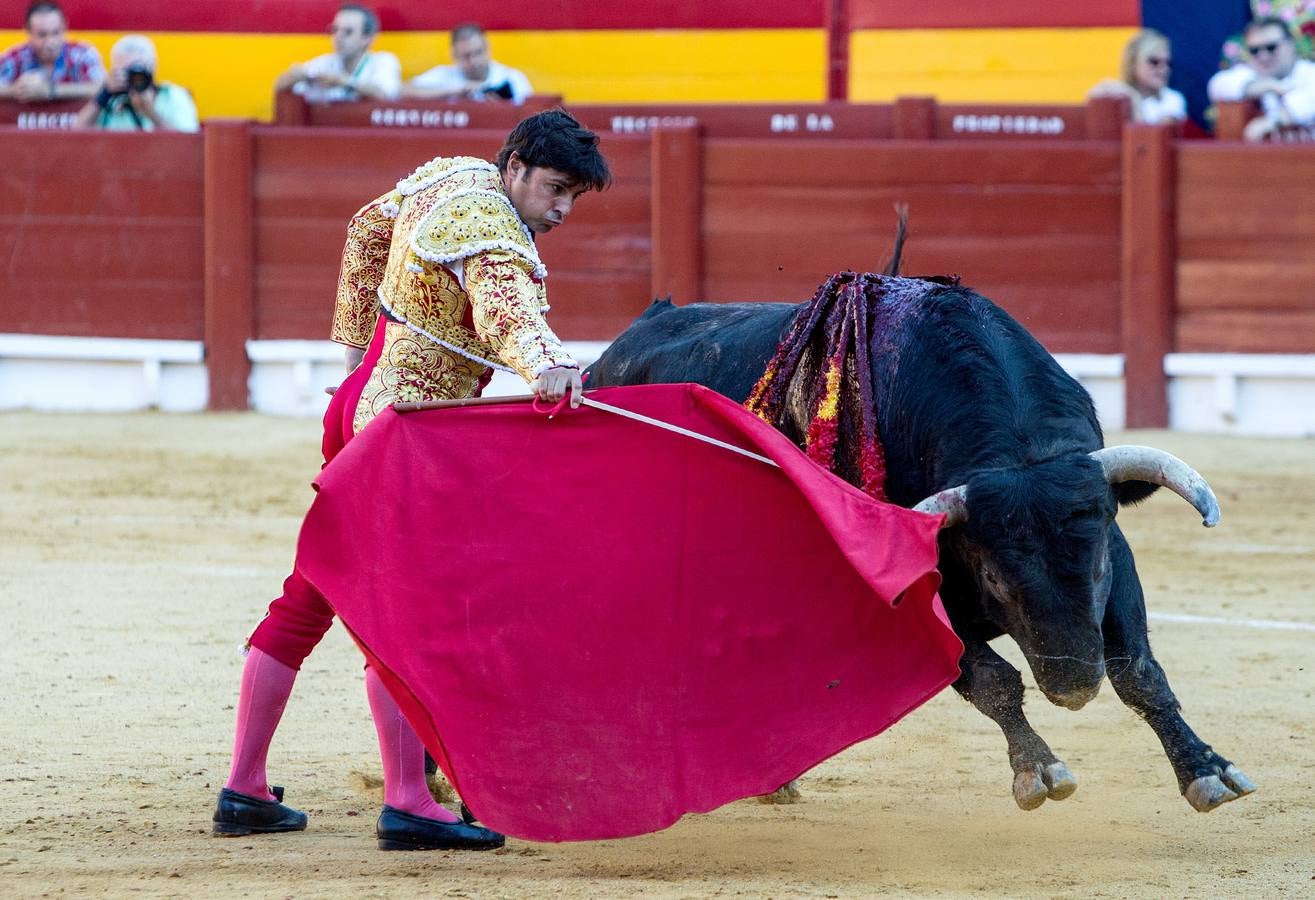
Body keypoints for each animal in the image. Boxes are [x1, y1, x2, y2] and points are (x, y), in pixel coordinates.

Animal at [591, 277, 1257, 810]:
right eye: (994, 578)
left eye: (1092, 569)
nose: (1072, 688)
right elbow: (991, 679)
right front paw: (1039, 771)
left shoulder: (1115, 550)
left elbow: (1138, 670)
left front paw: (1206, 771)